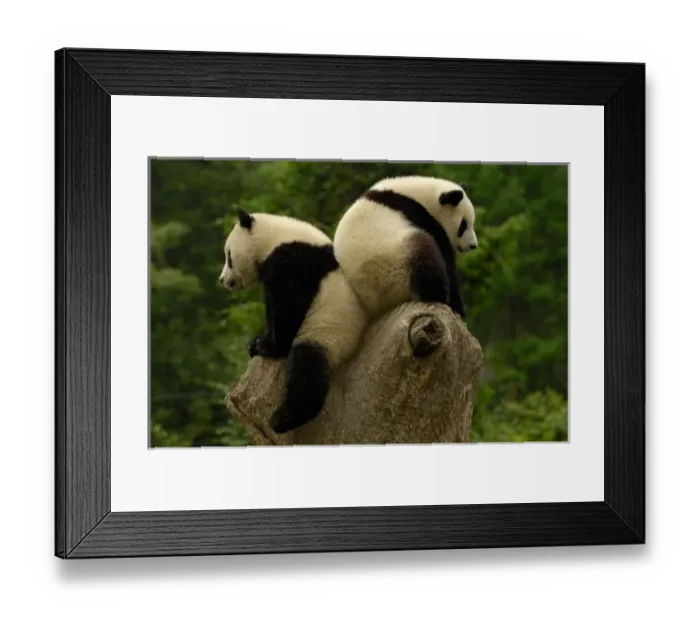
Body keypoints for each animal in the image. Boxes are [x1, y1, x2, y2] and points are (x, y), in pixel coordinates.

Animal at [219, 208, 368, 435]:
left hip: (327, 334)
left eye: (228, 256)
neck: (274, 237)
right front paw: (255, 342)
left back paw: (282, 419)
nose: (223, 280)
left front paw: (265, 346)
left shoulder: (292, 261)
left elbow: (287, 306)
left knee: (306, 369)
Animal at [333, 175, 479, 320]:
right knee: (425, 255)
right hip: (395, 260)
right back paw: (440, 296)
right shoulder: (420, 216)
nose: (473, 245)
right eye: (463, 225)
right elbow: (446, 257)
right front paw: (459, 307)